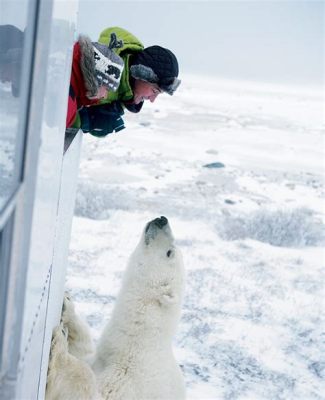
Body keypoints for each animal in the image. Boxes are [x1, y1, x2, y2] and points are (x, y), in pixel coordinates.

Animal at [46, 217, 186, 400]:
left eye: (170, 252)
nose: (162, 219)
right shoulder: (101, 358)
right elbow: (84, 351)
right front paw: (67, 307)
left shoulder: (130, 378)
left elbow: (96, 391)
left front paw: (59, 350)